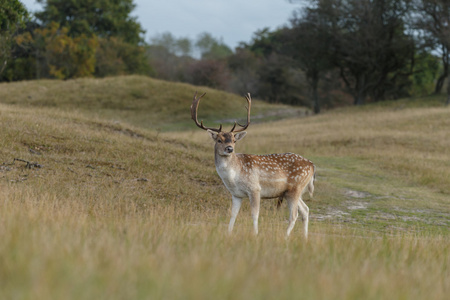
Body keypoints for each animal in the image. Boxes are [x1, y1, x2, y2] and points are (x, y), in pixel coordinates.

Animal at [192, 92, 314, 238]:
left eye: (234, 140)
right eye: (219, 140)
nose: (229, 149)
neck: (234, 177)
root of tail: (312, 165)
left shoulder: (255, 189)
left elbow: (255, 215)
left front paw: (255, 235)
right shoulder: (236, 194)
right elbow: (233, 215)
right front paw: (229, 233)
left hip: (296, 187)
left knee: (294, 215)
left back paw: (285, 237)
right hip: (291, 191)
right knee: (305, 210)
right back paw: (305, 238)